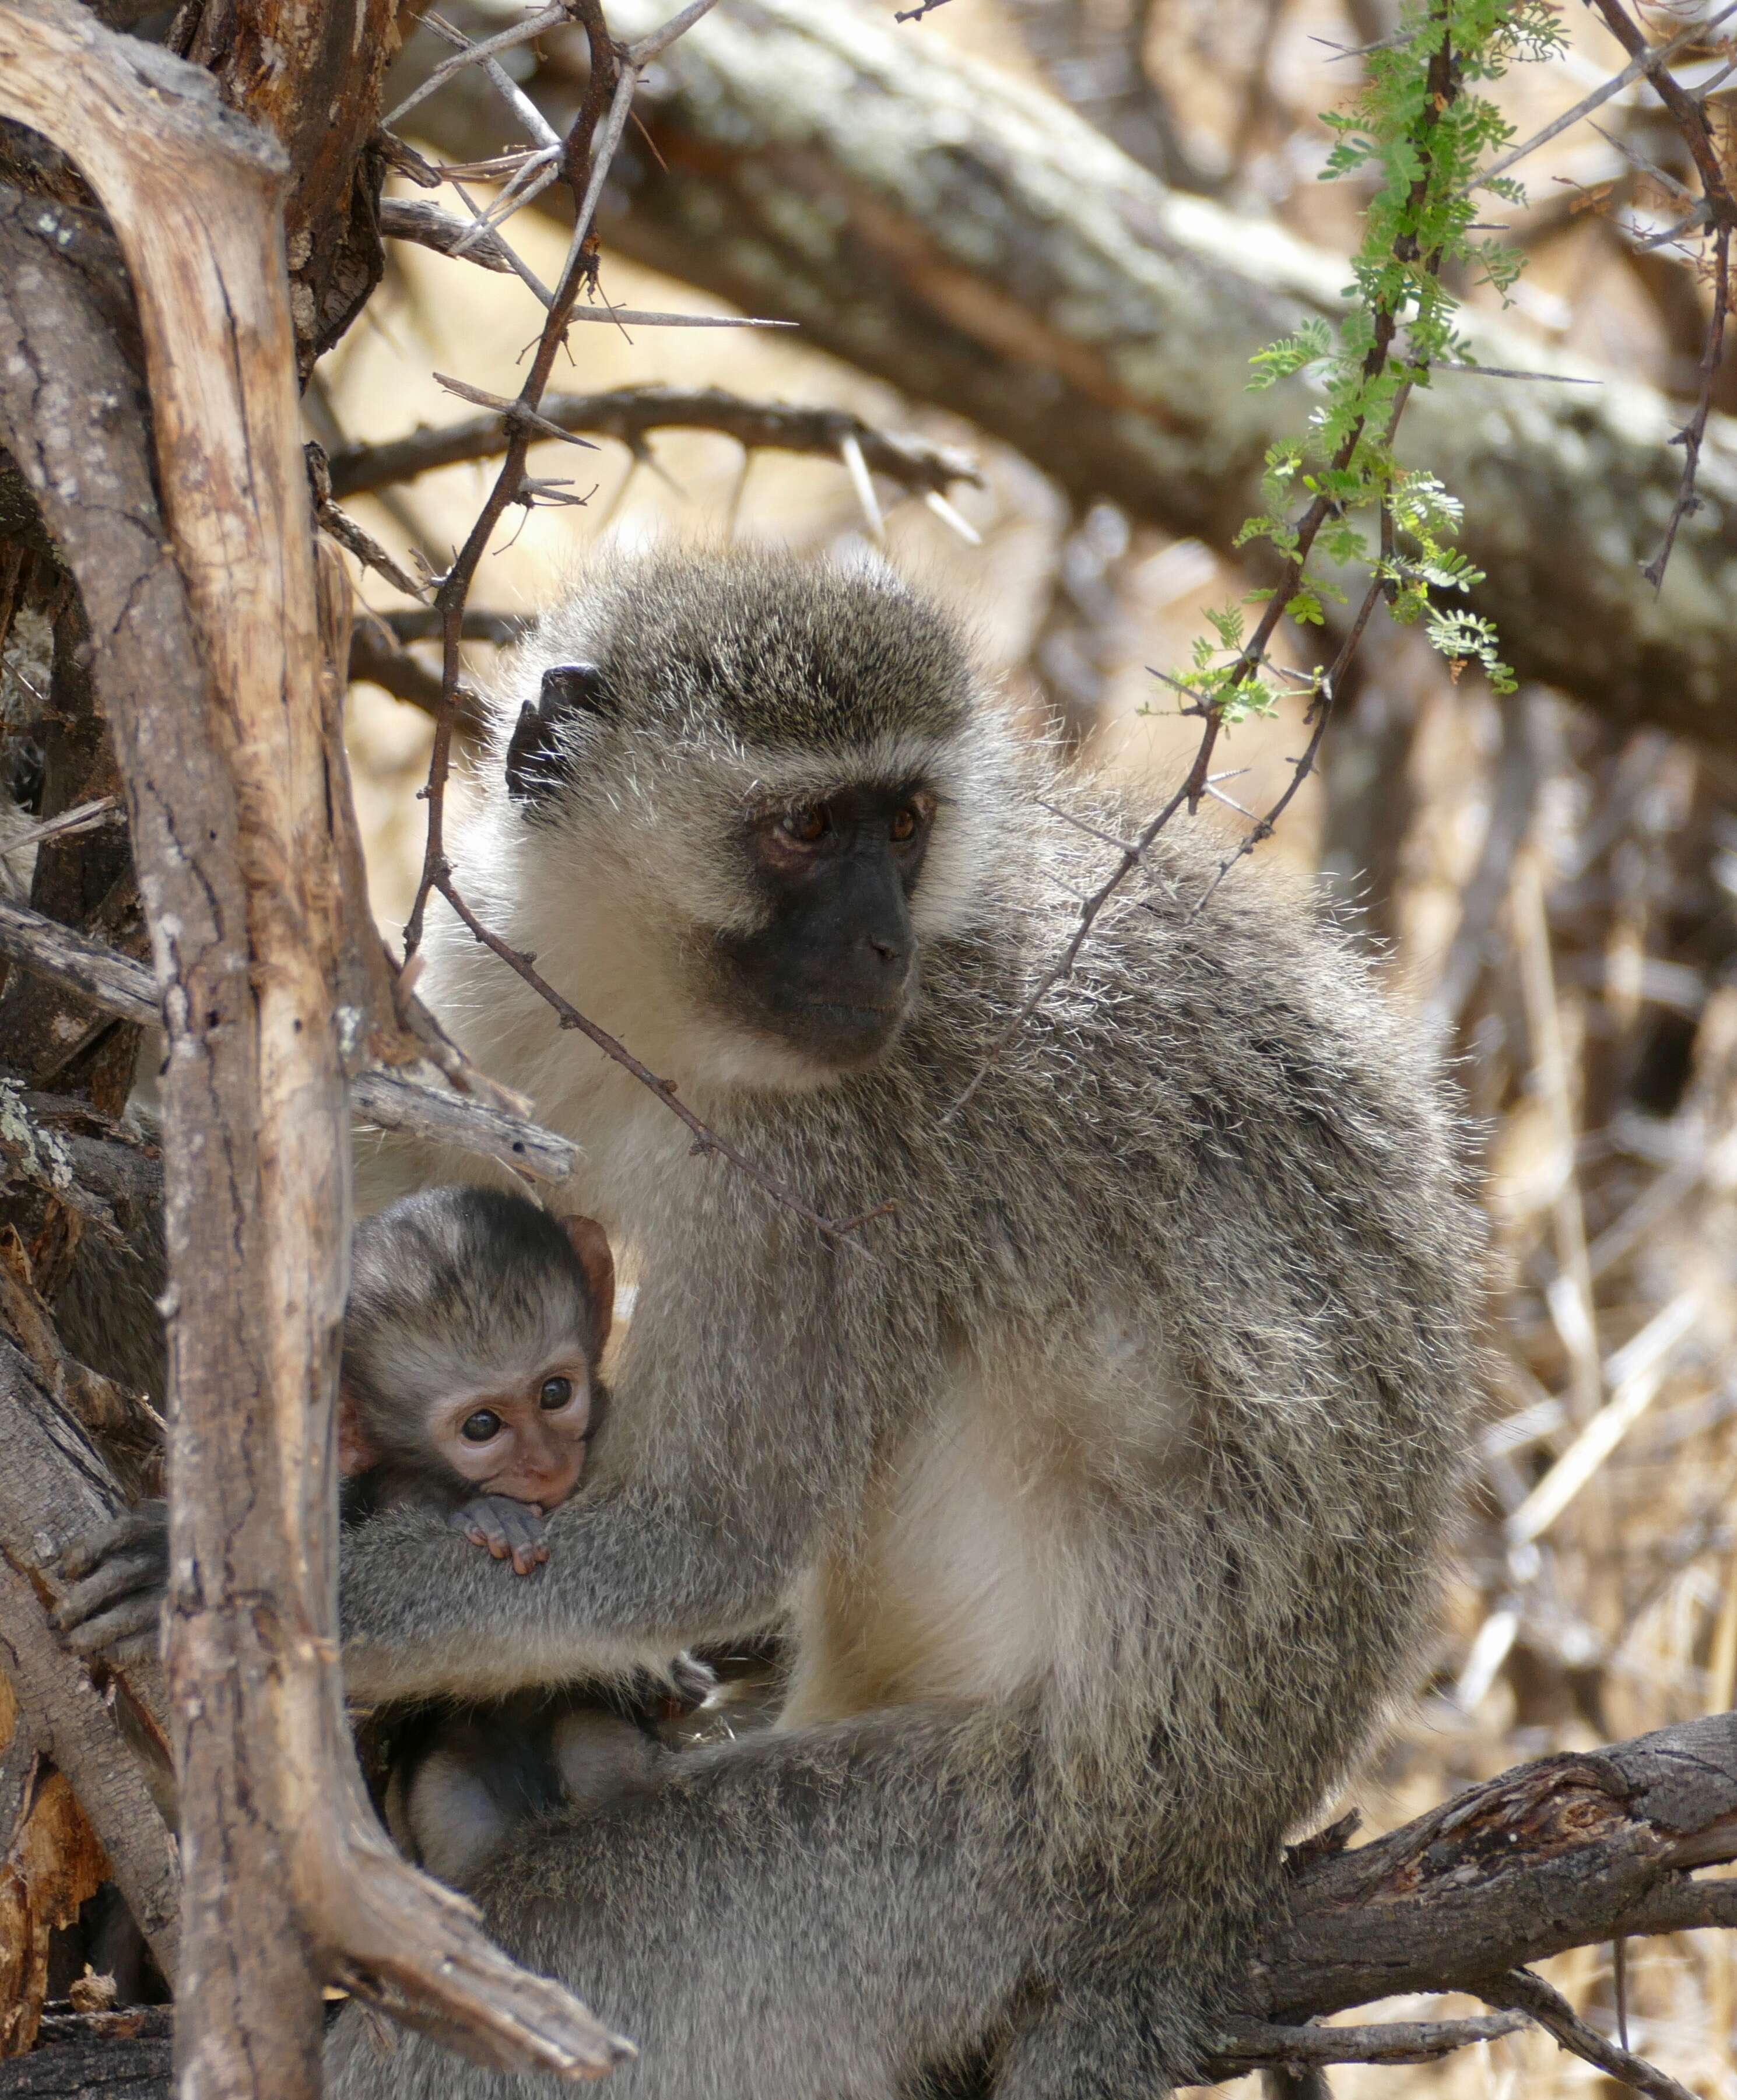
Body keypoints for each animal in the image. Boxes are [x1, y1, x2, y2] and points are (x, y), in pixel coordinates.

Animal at [64, 546, 1478, 2100]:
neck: (652, 1006)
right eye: (805, 828)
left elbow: (707, 1535)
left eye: (903, 823)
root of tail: (1197, 1872)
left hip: (954, 1873)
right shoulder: (494, 989)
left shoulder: (823, 1171)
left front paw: (277, 1587)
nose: (881, 943)